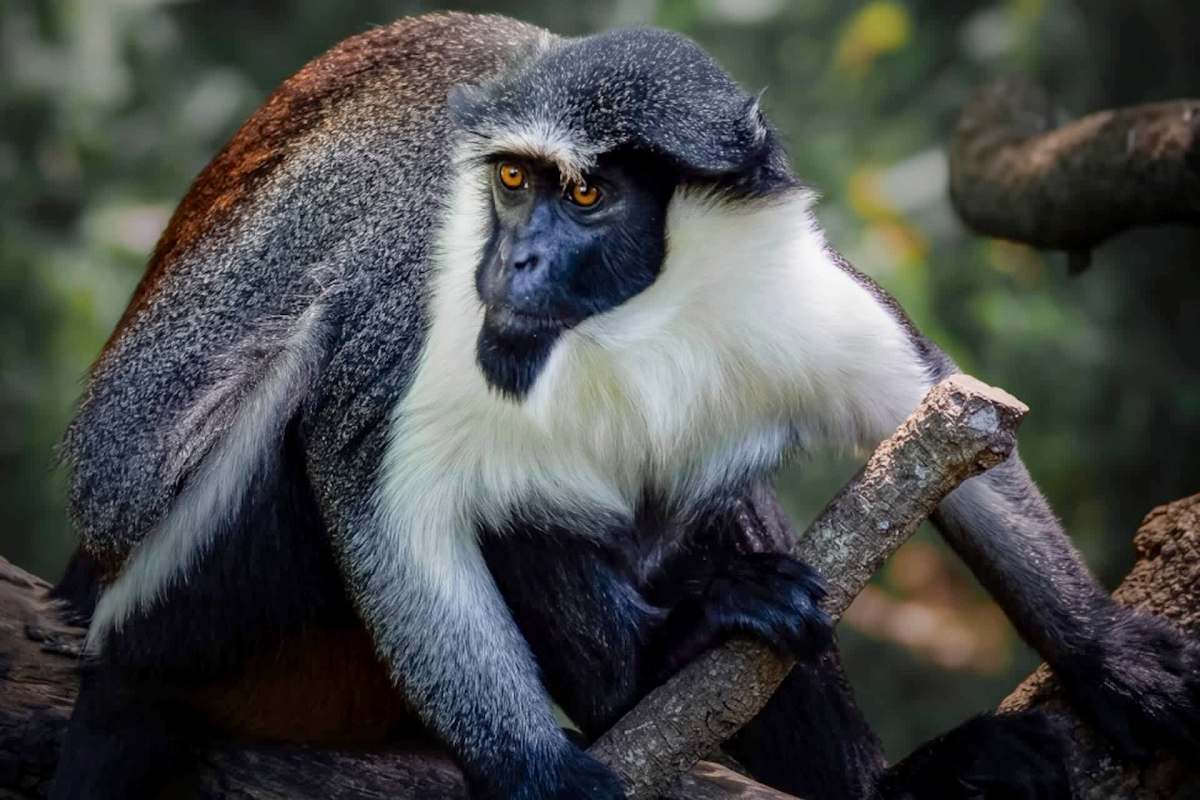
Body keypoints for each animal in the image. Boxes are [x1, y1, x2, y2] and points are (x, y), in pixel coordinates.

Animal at [49, 11, 1198, 800]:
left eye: (588, 193)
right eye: (513, 182)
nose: (516, 260)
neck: (640, 313)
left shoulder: (790, 285)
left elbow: (934, 406)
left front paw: (1106, 650)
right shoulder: (413, 310)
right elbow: (374, 493)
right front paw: (545, 771)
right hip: (198, 603)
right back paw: (655, 664)